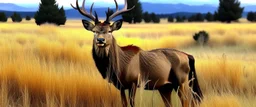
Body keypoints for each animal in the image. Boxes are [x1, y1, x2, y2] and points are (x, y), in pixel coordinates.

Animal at [71, 0, 203, 106]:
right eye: (94, 31)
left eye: (110, 31)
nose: (100, 40)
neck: (119, 67)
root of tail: (188, 56)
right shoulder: (121, 86)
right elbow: (124, 104)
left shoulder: (134, 81)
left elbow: (132, 103)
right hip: (166, 86)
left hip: (182, 81)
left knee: (187, 101)